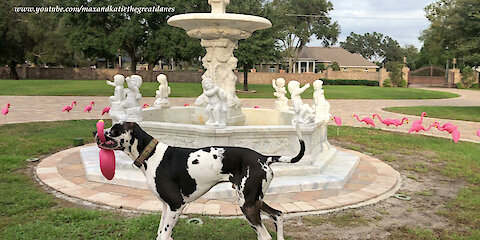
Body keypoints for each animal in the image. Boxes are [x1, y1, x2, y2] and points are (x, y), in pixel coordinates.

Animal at [94, 123, 304, 239]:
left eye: (114, 130)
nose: (96, 133)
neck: (151, 154)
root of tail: (263, 157)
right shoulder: (166, 207)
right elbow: (161, 233)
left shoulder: (176, 205)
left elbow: (164, 235)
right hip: (254, 201)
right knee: (278, 215)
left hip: (248, 206)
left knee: (265, 235)